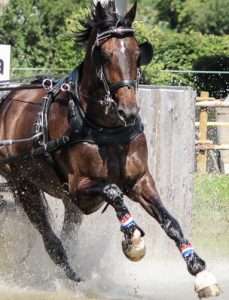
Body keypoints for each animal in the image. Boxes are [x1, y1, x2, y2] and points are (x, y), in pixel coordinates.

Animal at [0, 1, 222, 298]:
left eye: (138, 53)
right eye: (104, 56)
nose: (128, 111)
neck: (105, 128)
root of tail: (8, 99)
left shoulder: (139, 180)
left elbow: (170, 222)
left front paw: (200, 272)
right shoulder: (79, 190)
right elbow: (113, 191)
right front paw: (133, 239)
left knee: (66, 237)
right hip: (23, 186)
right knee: (53, 243)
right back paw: (74, 278)